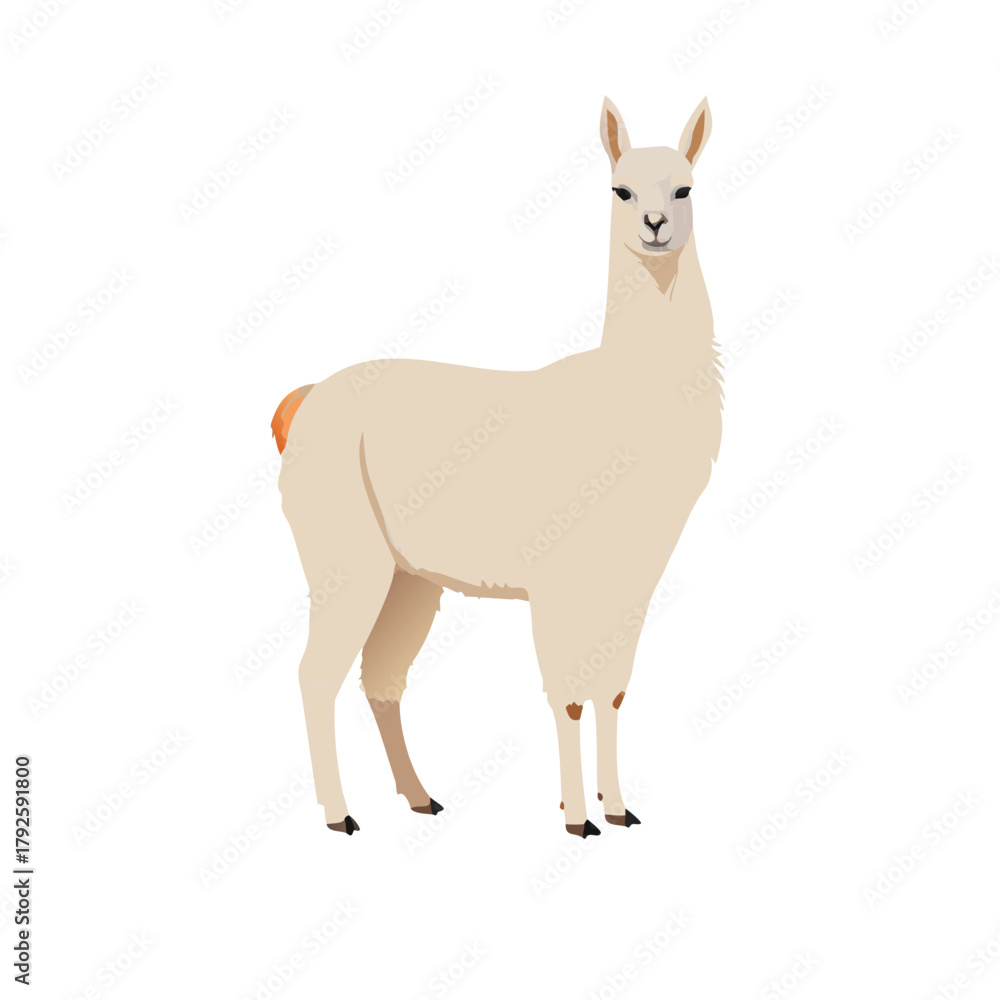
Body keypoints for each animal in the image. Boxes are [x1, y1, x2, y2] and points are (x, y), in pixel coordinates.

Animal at [272, 97, 722, 838]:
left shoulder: (630, 580)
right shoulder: (560, 577)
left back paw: (420, 796)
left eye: (685, 188)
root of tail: (304, 402)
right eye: (620, 190)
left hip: (409, 577)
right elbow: (568, 695)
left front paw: (619, 807)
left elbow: (614, 691)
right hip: (345, 552)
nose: (655, 226)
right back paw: (340, 816)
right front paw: (577, 819)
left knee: (381, 679)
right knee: (316, 674)